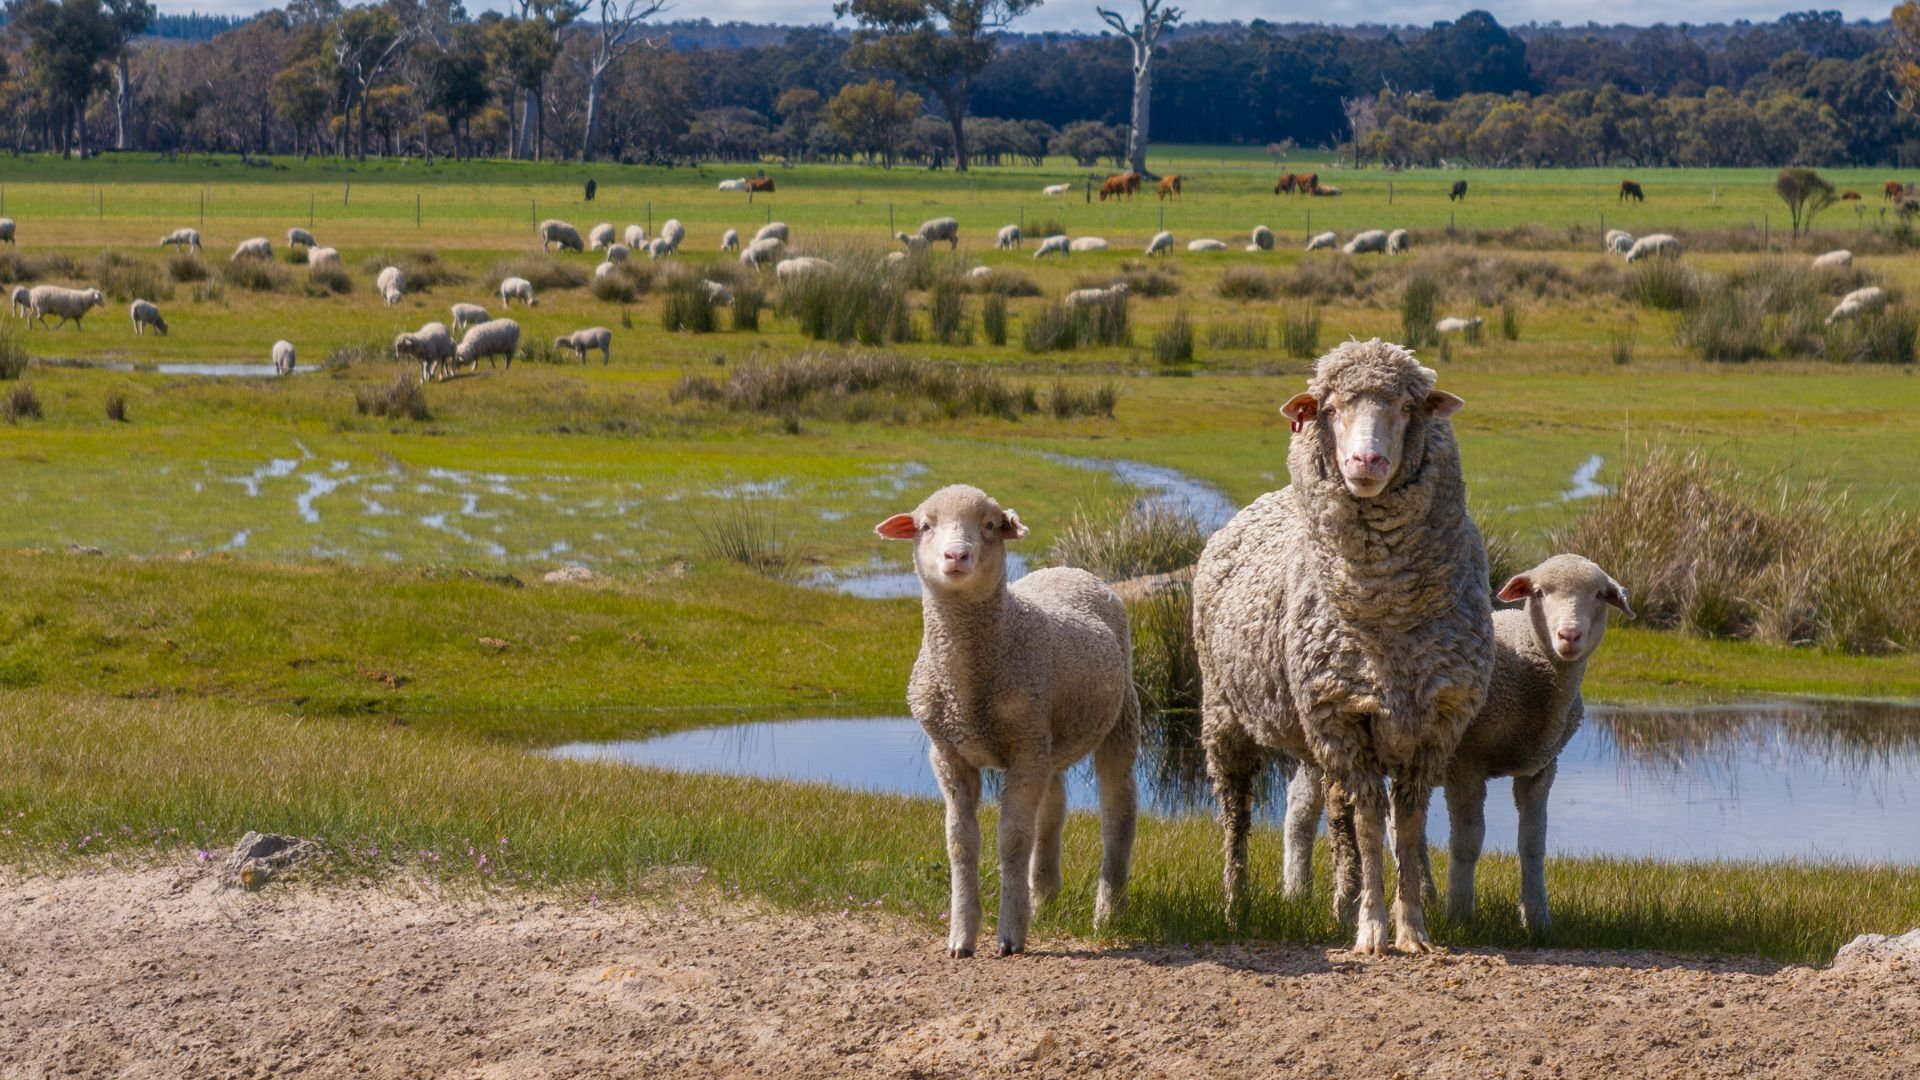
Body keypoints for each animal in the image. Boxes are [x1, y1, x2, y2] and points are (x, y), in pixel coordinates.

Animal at [874, 484, 1137, 957]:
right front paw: (962, 935)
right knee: (1053, 809)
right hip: (1047, 736)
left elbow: (1013, 839)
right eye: (925, 526)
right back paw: (1043, 895)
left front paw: (1011, 934)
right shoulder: (949, 753)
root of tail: (1071, 569)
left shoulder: (1023, 749)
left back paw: (1108, 911)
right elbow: (960, 842)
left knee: (1118, 814)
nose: (956, 555)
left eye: (990, 526)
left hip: (1117, 718)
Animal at [1193, 338, 1493, 954]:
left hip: (1313, 728)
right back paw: (1236, 905)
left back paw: (1339, 902)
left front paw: (1412, 927)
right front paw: (1373, 931)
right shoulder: (1345, 718)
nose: (1366, 463)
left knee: (1333, 814)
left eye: (1407, 407)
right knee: (1235, 813)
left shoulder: (1432, 723)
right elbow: (1372, 826)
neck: (1388, 616)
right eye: (1329, 408)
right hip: (1225, 713)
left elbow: (1405, 828)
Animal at [1282, 555, 1630, 933]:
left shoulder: (1540, 769)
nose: (1569, 636)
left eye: (1599, 595)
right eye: (1538, 592)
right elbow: (1468, 841)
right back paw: (1298, 891)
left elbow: (1533, 843)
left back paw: (1412, 893)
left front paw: (1537, 917)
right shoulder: (1466, 764)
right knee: (1304, 809)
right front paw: (1461, 913)